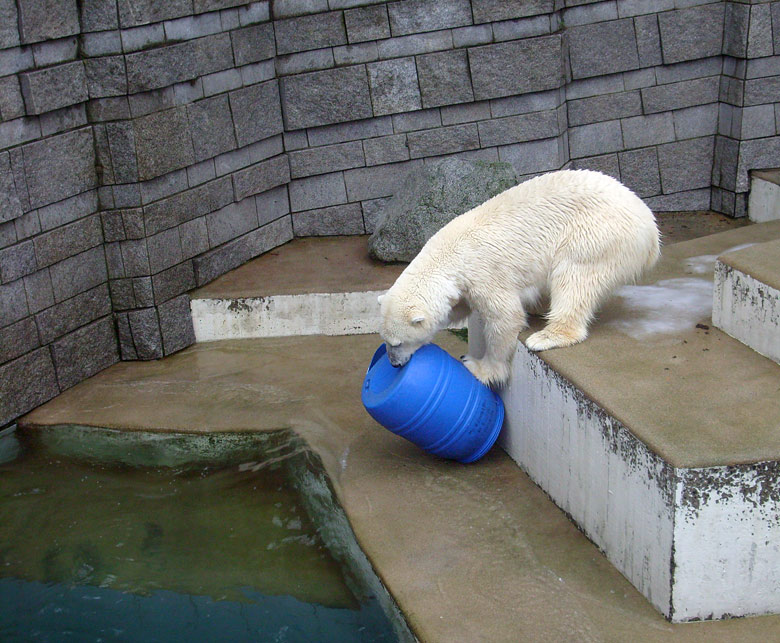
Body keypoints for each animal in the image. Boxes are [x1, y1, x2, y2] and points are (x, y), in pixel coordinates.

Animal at [380, 169, 660, 384]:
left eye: (398, 343)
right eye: (386, 341)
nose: (393, 364)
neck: (448, 255)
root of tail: (651, 229)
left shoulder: (484, 272)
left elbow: (505, 318)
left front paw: (479, 367)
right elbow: (458, 307)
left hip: (596, 234)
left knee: (573, 278)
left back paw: (547, 335)